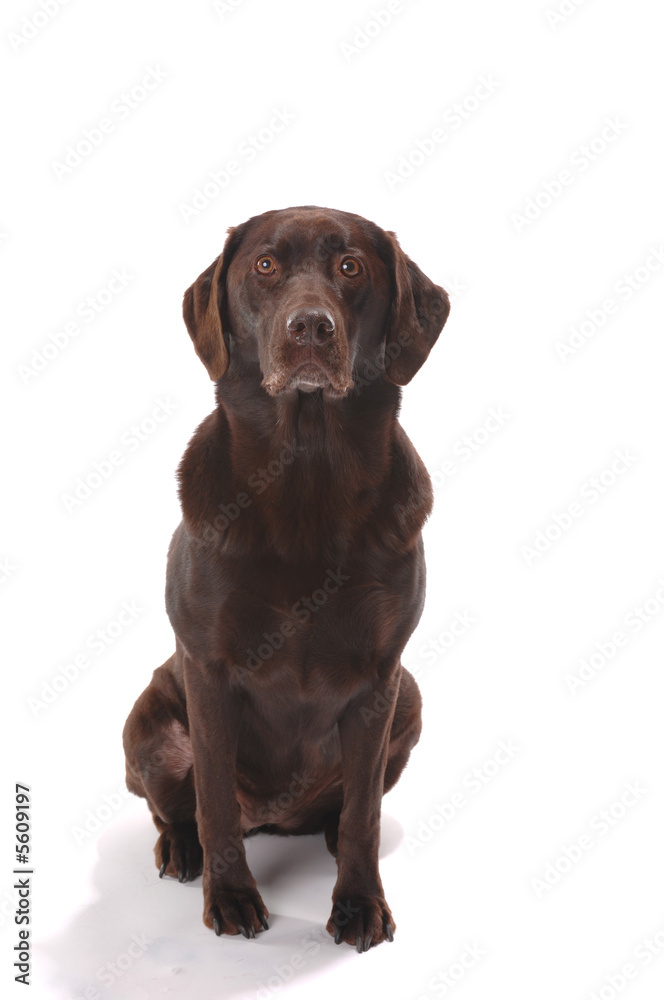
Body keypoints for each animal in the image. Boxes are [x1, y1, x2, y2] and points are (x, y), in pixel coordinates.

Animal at [122, 205, 448, 952]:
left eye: (350, 267)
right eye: (265, 266)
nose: (310, 327)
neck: (306, 473)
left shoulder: (382, 673)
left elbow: (363, 813)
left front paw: (359, 904)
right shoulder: (208, 668)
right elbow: (212, 798)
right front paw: (231, 897)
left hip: (410, 698)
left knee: (347, 806)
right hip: (147, 720)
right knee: (178, 807)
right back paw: (181, 849)